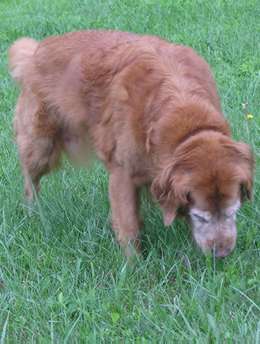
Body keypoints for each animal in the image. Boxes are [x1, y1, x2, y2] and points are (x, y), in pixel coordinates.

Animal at [8, 30, 254, 255]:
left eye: (233, 212)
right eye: (200, 217)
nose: (221, 254)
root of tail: (36, 51)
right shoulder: (122, 176)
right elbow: (128, 226)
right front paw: (133, 265)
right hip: (40, 148)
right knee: (30, 183)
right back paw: (33, 215)